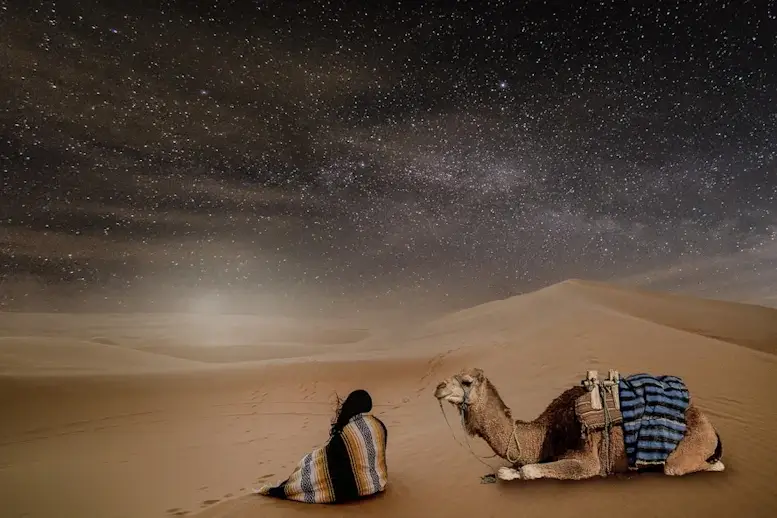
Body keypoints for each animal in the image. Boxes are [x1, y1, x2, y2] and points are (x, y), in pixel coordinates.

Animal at [434, 370, 724, 484]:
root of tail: (710, 426)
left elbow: (529, 470)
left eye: (466, 381)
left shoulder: (588, 461)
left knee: (692, 466)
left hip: (687, 451)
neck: (546, 434)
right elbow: (510, 471)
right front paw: (508, 473)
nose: (439, 386)